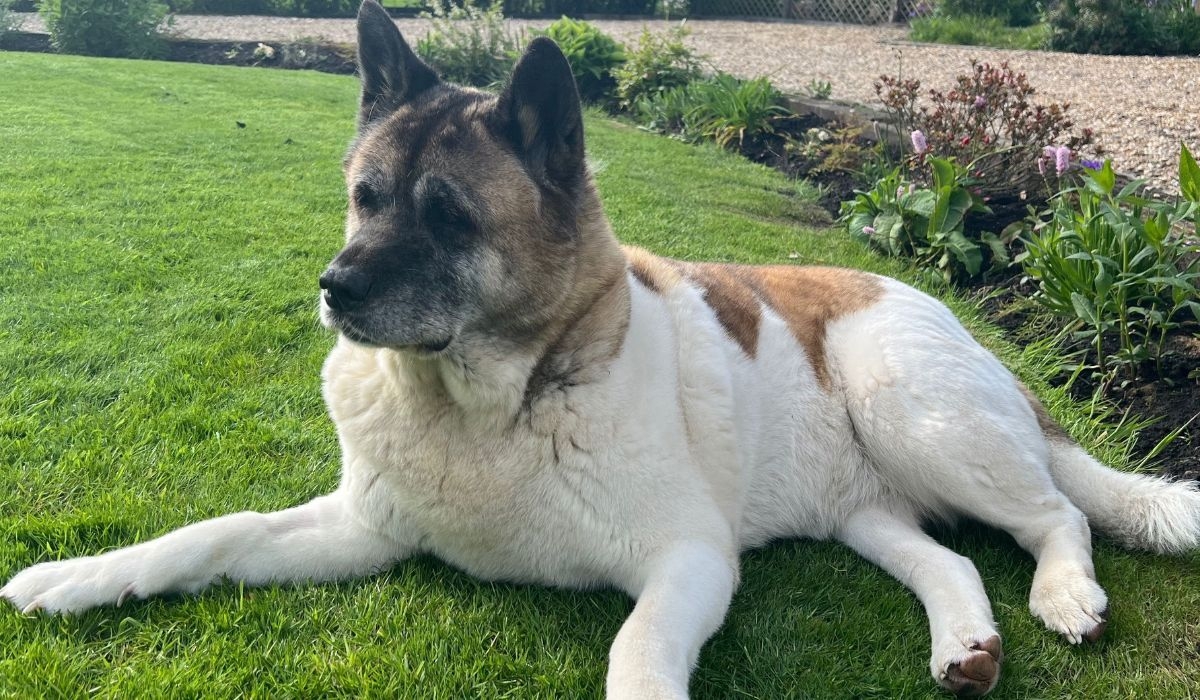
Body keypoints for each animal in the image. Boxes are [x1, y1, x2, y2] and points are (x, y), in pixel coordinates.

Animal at [7, 2, 1200, 696]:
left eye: (447, 217)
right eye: (366, 197)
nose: (333, 291)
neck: (491, 407)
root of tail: (924, 299)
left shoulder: (688, 561)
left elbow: (635, 655)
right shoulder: (361, 530)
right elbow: (210, 535)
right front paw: (79, 577)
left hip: (910, 407)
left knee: (1057, 513)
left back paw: (1064, 595)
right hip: (865, 503)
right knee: (950, 558)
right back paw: (965, 643)